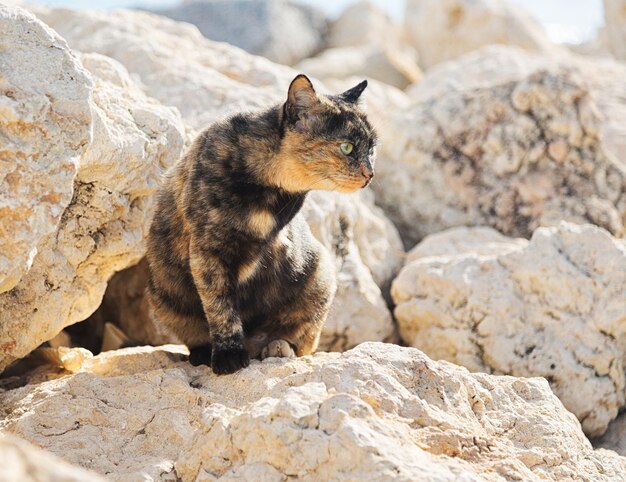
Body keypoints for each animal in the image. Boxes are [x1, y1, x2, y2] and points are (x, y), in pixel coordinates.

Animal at [145, 75, 376, 374]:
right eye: (347, 147)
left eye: (372, 148)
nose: (371, 174)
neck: (269, 185)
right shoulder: (208, 251)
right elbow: (220, 305)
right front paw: (229, 356)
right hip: (164, 296)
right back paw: (205, 353)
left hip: (321, 273)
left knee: (299, 340)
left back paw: (276, 347)